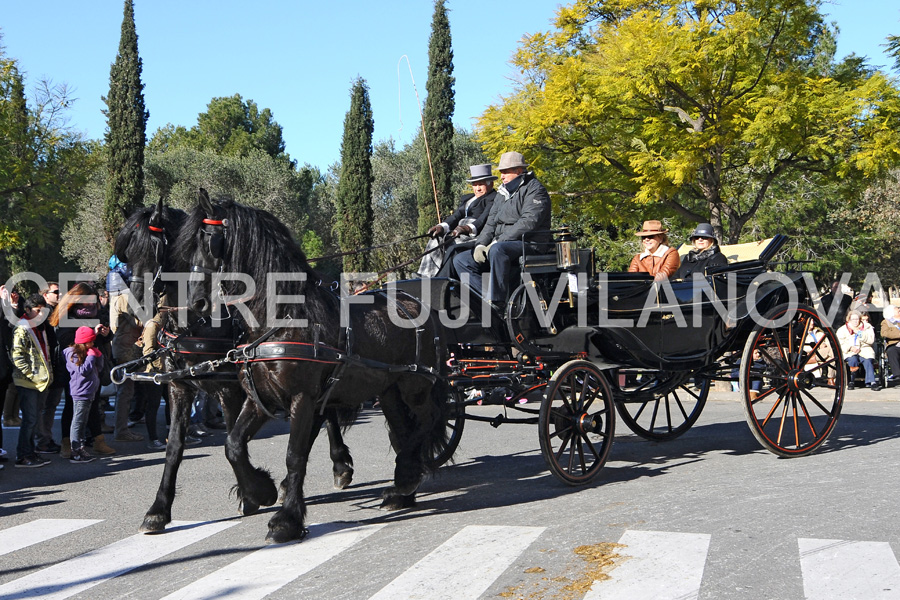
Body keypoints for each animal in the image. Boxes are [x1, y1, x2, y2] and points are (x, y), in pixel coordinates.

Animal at [115, 198, 358, 536]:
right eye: (127, 252)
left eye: (155, 247)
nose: (136, 304)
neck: (197, 322)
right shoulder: (179, 388)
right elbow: (174, 446)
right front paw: (158, 510)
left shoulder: (230, 389)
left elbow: (233, 440)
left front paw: (254, 493)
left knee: (323, 415)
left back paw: (337, 466)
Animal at [178, 192, 450, 544]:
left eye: (210, 242)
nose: (195, 304)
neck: (282, 318)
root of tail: (417, 303)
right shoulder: (260, 399)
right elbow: (233, 445)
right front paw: (261, 491)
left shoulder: (302, 399)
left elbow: (295, 455)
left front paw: (286, 519)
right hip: (388, 391)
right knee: (404, 431)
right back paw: (402, 490)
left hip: (415, 385)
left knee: (428, 418)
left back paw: (405, 477)